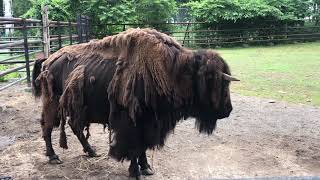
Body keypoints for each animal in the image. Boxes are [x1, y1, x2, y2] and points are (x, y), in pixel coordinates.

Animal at [32, 27, 239, 179]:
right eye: (214, 81)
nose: (228, 110)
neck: (174, 71)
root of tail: (49, 60)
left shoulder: (149, 124)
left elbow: (142, 148)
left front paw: (146, 168)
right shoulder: (132, 124)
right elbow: (134, 149)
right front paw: (135, 171)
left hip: (77, 109)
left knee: (75, 127)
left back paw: (91, 152)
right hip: (52, 104)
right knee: (47, 127)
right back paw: (54, 157)